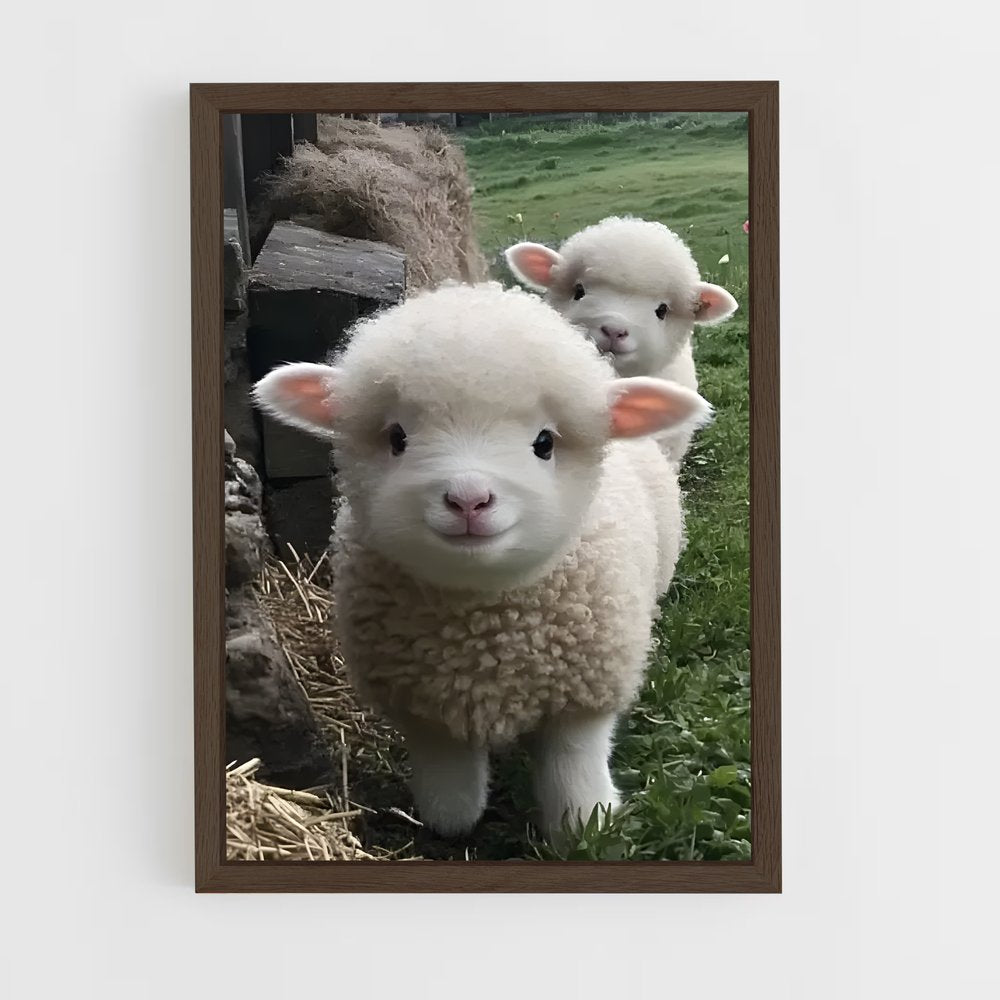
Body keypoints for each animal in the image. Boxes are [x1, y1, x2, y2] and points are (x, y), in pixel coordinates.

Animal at [252, 282, 711, 839]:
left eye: (544, 443)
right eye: (397, 438)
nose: (468, 499)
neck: (485, 625)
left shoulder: (584, 695)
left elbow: (573, 770)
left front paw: (585, 823)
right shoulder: (424, 707)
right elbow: (451, 796)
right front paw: (448, 819)